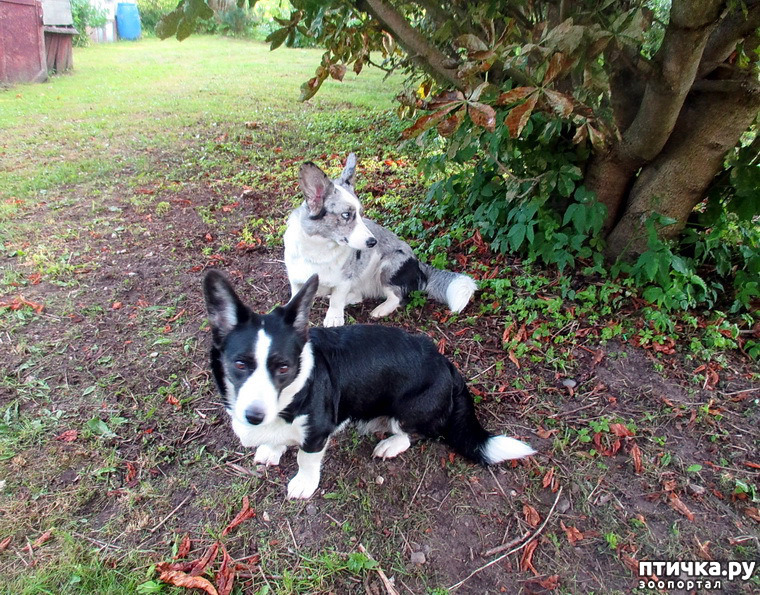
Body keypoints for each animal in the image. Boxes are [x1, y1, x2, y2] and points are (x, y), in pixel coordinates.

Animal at [203, 270, 535, 499]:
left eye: (283, 367)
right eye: (240, 365)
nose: (253, 416)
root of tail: (448, 365)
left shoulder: (316, 434)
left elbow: (305, 458)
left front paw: (303, 484)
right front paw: (271, 449)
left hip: (409, 409)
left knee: (413, 434)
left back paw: (389, 443)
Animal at [283, 153, 477, 327]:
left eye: (361, 214)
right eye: (346, 215)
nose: (373, 242)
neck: (319, 248)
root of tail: (419, 264)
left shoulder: (343, 281)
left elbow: (336, 301)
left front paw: (334, 319)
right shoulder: (296, 281)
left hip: (387, 266)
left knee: (397, 297)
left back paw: (380, 309)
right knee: (359, 296)